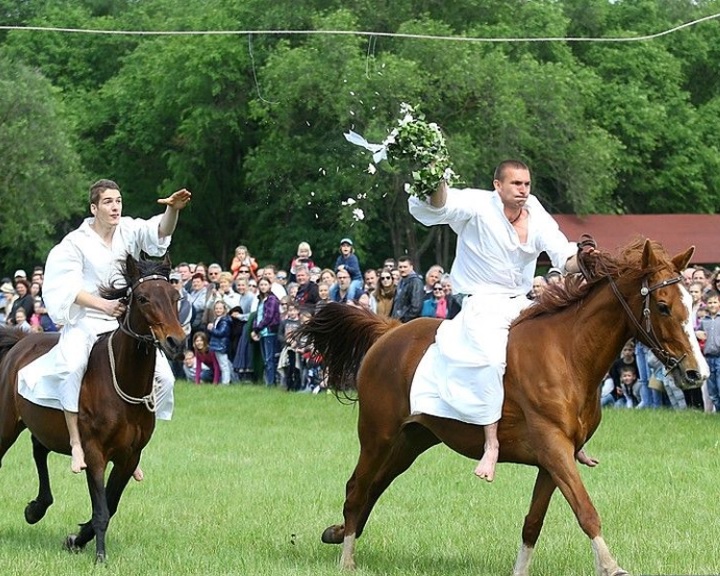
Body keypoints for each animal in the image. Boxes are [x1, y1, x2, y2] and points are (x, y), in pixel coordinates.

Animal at [0, 255, 187, 564]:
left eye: (176, 297)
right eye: (143, 298)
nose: (177, 342)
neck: (122, 381)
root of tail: (20, 342)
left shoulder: (129, 457)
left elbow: (110, 504)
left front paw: (76, 539)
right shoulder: (95, 452)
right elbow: (101, 509)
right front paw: (99, 555)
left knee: (39, 449)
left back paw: (36, 508)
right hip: (6, 426)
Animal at [298, 238, 708, 576]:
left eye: (691, 304)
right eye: (663, 306)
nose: (696, 372)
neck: (568, 354)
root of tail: (389, 331)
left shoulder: (554, 459)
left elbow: (533, 523)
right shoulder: (554, 449)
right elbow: (586, 511)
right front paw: (611, 566)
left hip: (411, 440)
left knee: (375, 486)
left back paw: (338, 533)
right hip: (377, 435)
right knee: (357, 487)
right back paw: (346, 557)